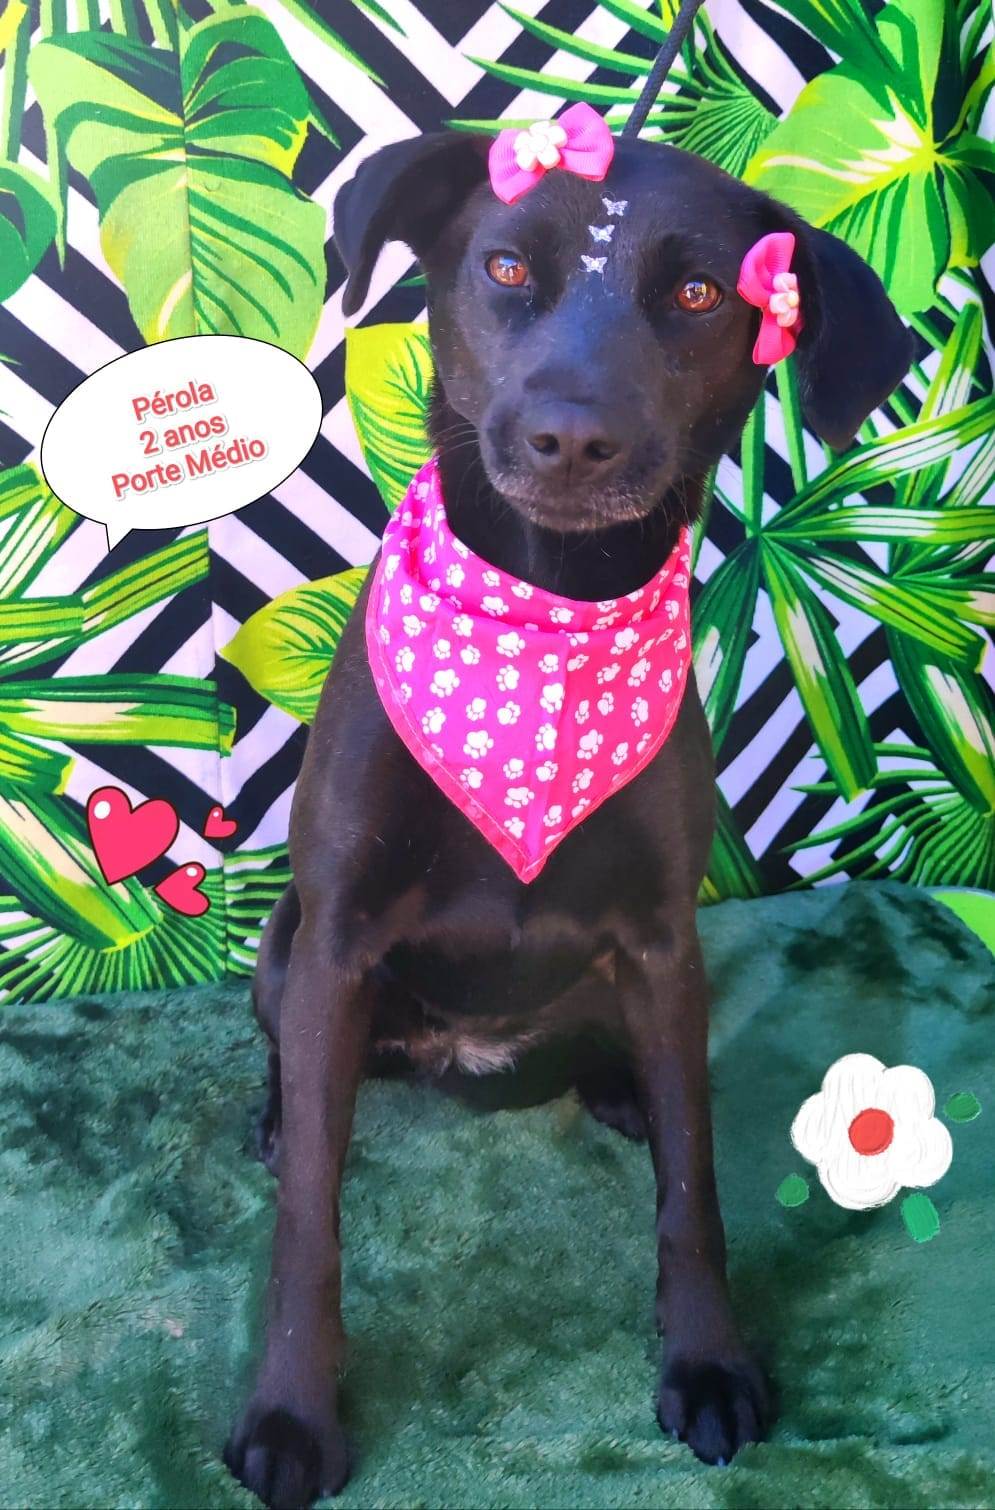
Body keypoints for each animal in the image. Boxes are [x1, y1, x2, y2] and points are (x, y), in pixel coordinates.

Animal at [224, 126, 911, 1509]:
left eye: (698, 292)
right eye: (502, 266)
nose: (568, 437)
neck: (542, 618)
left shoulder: (659, 938)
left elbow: (692, 1183)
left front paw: (707, 1362)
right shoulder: (337, 943)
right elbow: (312, 1219)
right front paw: (292, 1409)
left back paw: (614, 1085)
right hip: (286, 946)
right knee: (292, 1061)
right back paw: (276, 1115)